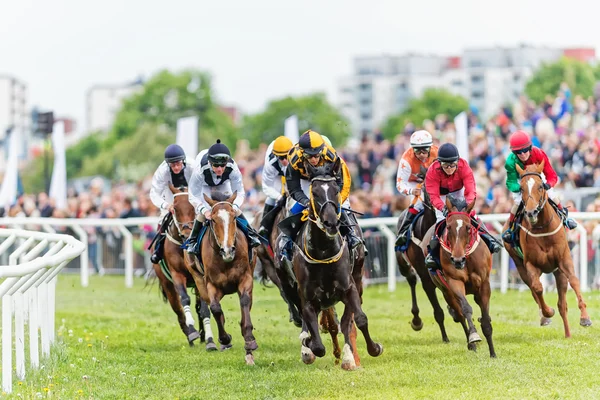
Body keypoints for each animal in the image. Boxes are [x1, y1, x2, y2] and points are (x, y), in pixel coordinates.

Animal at [151, 184, 217, 350]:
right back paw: (190, 336)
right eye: (175, 208)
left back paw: (203, 336)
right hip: (167, 285)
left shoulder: (201, 276)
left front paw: (210, 340)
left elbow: (205, 309)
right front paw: (192, 331)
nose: (187, 232)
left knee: (199, 308)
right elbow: (185, 299)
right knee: (178, 310)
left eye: (194, 207)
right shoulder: (176, 275)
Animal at [183, 192, 258, 364]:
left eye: (234, 218)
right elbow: (215, 309)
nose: (228, 250)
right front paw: (225, 338)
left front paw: (249, 342)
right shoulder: (211, 284)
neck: (225, 261)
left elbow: (245, 304)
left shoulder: (245, 278)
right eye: (213, 220)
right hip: (198, 280)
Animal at [426, 195, 496, 358]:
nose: (458, 260)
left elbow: (486, 319)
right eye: (448, 227)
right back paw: (471, 344)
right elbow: (466, 309)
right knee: (459, 314)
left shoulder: (484, 284)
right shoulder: (454, 282)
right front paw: (474, 336)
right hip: (447, 292)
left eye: (468, 227)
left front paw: (493, 353)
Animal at [502, 161, 592, 336]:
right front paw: (547, 313)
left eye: (540, 186)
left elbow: (574, 281)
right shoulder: (531, 264)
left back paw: (568, 335)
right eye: (521, 188)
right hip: (519, 265)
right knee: (532, 288)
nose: (531, 212)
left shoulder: (564, 259)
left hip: (557, 272)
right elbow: (537, 288)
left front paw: (585, 317)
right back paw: (545, 317)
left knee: (562, 305)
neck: (542, 228)